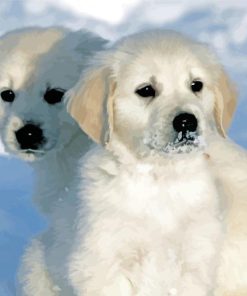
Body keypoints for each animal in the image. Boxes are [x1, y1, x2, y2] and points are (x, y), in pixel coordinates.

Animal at [66, 30, 236, 296]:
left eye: (196, 85)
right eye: (146, 90)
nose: (187, 121)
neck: (160, 178)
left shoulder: (195, 260)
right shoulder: (105, 262)